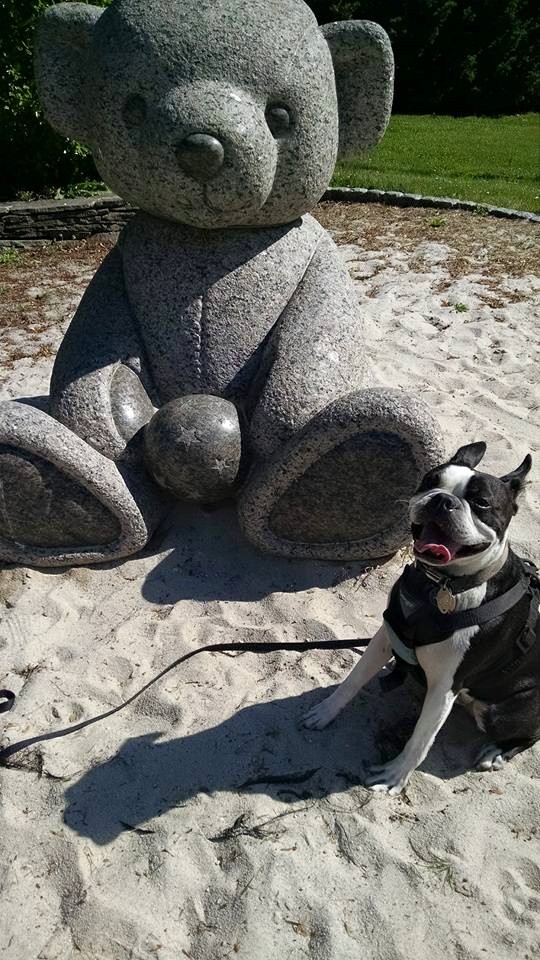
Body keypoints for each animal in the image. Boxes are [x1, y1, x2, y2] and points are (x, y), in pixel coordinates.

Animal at [303, 442, 540, 795]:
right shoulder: (386, 637)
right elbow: (353, 680)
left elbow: (419, 741)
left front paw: (394, 776)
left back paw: (497, 752)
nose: (442, 500)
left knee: (528, 735)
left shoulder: (444, 687)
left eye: (482, 503)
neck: (441, 585)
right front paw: (326, 712)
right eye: (431, 481)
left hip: (502, 712)